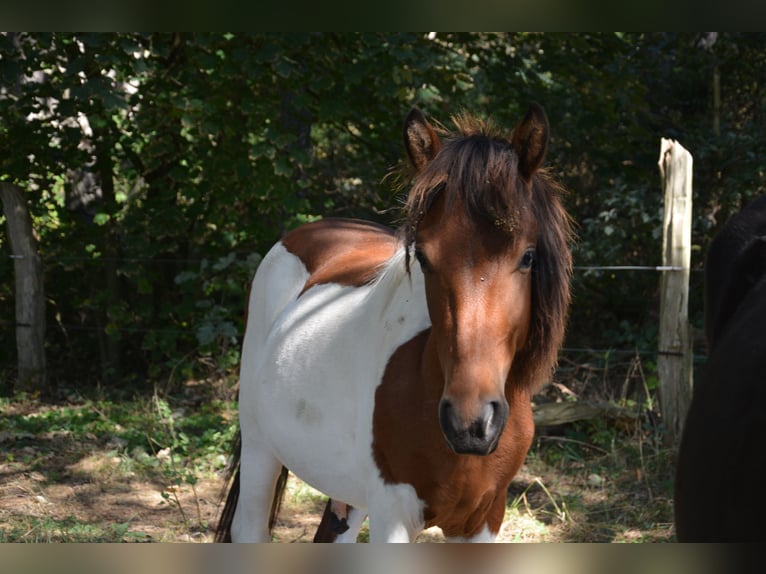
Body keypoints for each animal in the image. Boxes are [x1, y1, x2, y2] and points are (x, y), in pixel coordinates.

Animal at [213, 104, 572, 544]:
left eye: (528, 257)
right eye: (424, 258)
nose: (470, 424)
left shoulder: (485, 517)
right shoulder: (393, 514)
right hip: (261, 449)